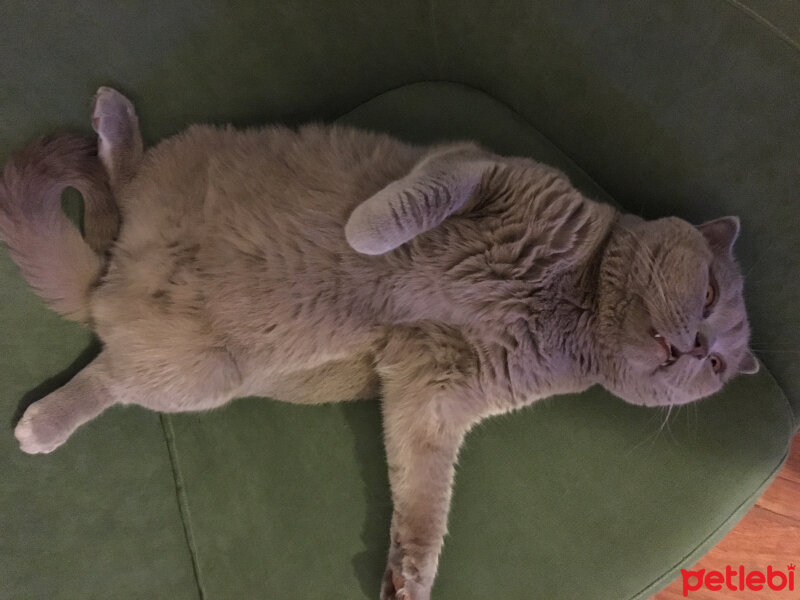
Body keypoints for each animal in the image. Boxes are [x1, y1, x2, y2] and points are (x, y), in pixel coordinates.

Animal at [0, 86, 760, 596]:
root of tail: (116, 275)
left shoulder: (435, 394)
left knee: (114, 367)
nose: (698, 348)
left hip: (201, 371)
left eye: (718, 364)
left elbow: (425, 491)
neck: (568, 310)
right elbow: (409, 204)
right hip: (193, 175)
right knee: (125, 190)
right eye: (711, 295)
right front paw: (364, 238)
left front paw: (411, 577)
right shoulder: (483, 170)